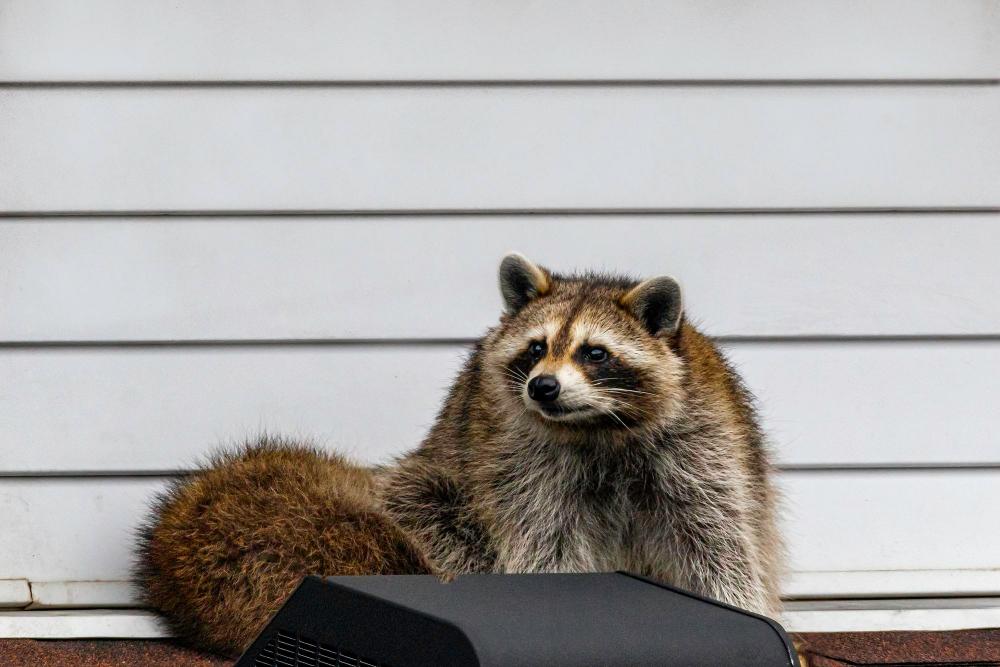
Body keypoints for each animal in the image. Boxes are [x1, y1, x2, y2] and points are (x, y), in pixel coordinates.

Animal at [136, 254, 782, 656]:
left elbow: (716, 541)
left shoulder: (701, 443)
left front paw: (744, 613)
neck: (595, 426)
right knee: (435, 512)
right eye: (536, 348)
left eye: (596, 353)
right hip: (427, 483)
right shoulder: (522, 459)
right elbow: (544, 543)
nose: (543, 388)